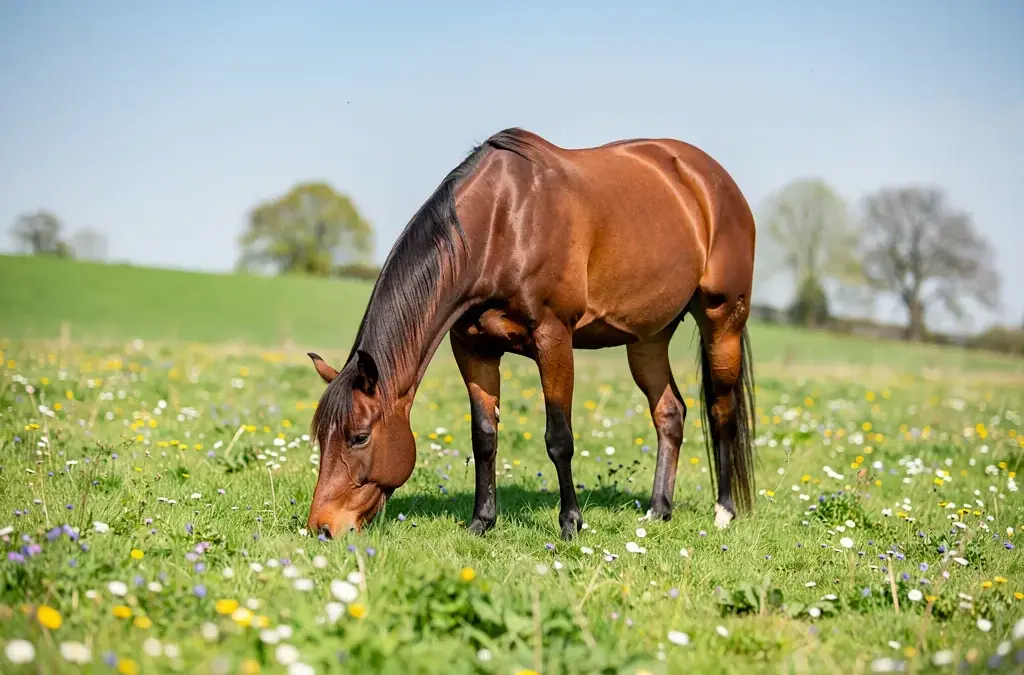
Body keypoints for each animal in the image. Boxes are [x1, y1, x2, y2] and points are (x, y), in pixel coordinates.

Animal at [306, 127, 757, 541]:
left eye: (359, 437)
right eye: (321, 438)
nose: (321, 528)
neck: (501, 224)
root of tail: (713, 181)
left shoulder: (553, 339)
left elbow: (559, 438)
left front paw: (571, 523)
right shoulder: (473, 347)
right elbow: (484, 437)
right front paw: (481, 522)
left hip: (722, 322)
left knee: (721, 410)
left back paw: (724, 512)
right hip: (648, 337)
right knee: (669, 413)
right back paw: (658, 511)